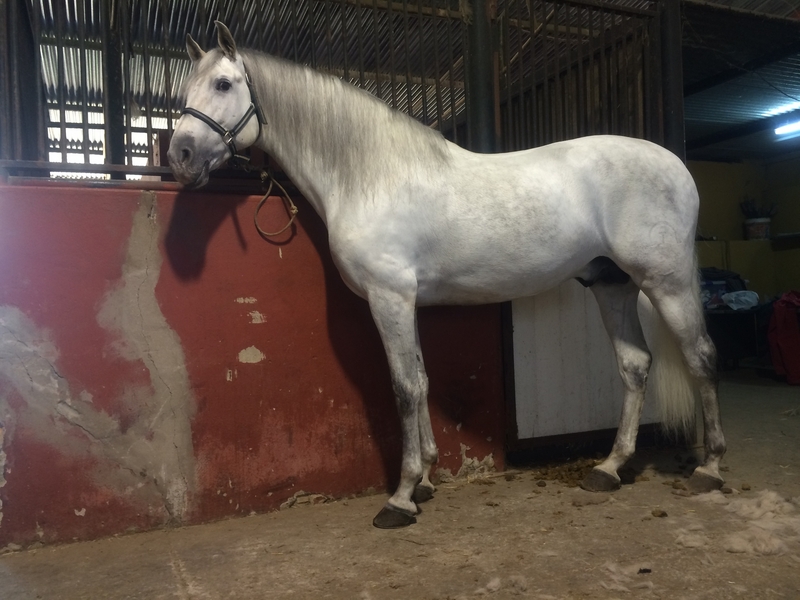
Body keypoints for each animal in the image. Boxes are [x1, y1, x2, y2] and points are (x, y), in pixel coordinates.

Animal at [168, 21, 726, 529]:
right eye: (185, 91)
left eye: (224, 84)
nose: (179, 156)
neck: (370, 175)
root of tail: (675, 163)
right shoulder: (404, 300)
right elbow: (421, 379)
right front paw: (426, 481)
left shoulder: (389, 296)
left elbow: (403, 387)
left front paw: (400, 498)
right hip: (613, 285)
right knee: (634, 365)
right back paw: (609, 468)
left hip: (667, 282)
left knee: (700, 356)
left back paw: (710, 469)